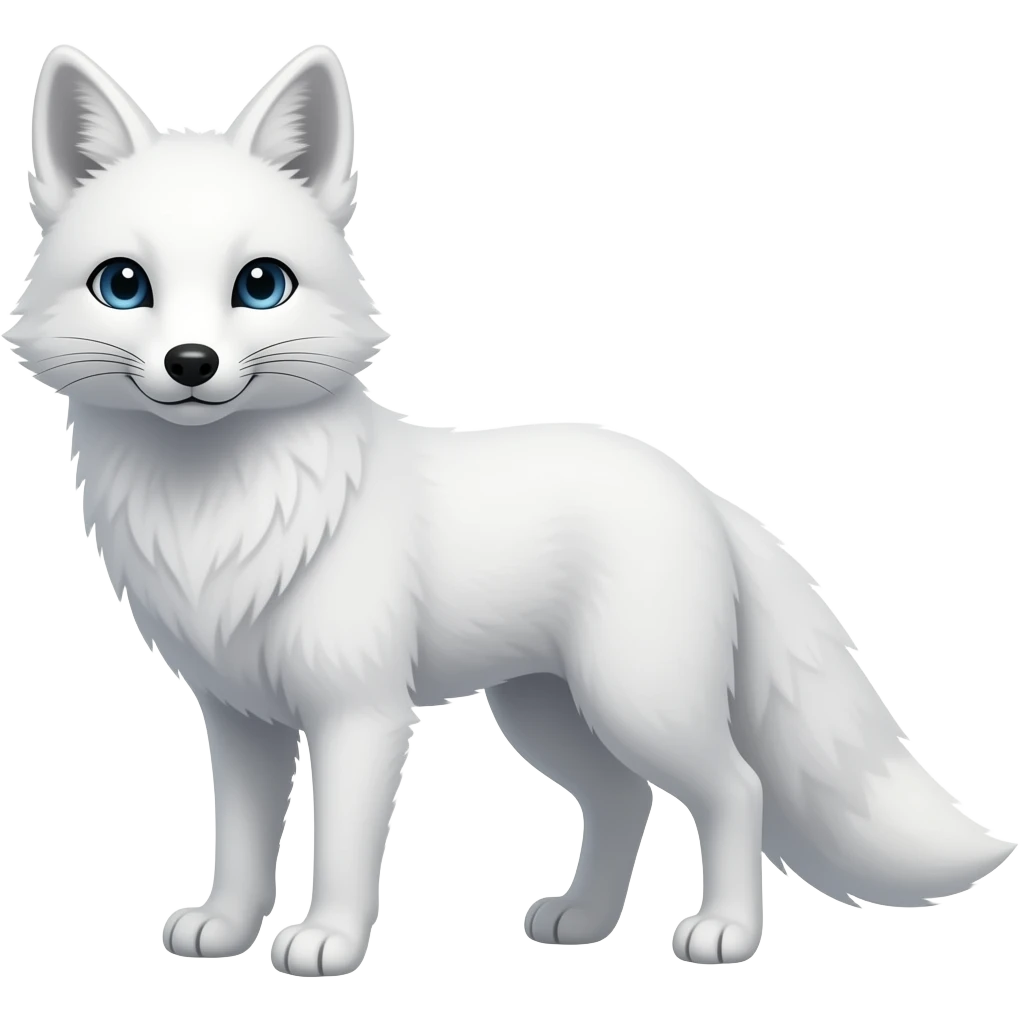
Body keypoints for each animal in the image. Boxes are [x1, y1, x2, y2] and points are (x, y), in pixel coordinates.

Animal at [5, 42, 1015, 977]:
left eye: (260, 285)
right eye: (124, 284)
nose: (191, 364)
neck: (218, 516)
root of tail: (700, 489)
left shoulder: (360, 712)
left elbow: (341, 850)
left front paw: (328, 941)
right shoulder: (239, 717)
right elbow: (241, 842)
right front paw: (224, 928)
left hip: (638, 701)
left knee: (737, 789)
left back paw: (724, 933)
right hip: (547, 714)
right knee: (622, 800)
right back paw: (584, 922)